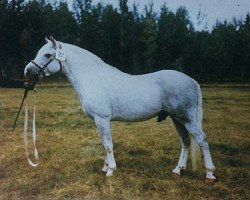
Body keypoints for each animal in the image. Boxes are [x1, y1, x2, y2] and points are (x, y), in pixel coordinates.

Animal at [24, 37, 216, 180]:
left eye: (47, 54)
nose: (27, 71)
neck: (93, 77)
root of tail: (192, 81)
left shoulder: (102, 119)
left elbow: (108, 144)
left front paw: (110, 170)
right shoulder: (98, 121)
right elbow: (103, 144)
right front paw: (105, 167)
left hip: (186, 118)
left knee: (202, 139)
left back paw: (209, 174)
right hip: (177, 118)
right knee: (186, 141)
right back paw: (178, 170)